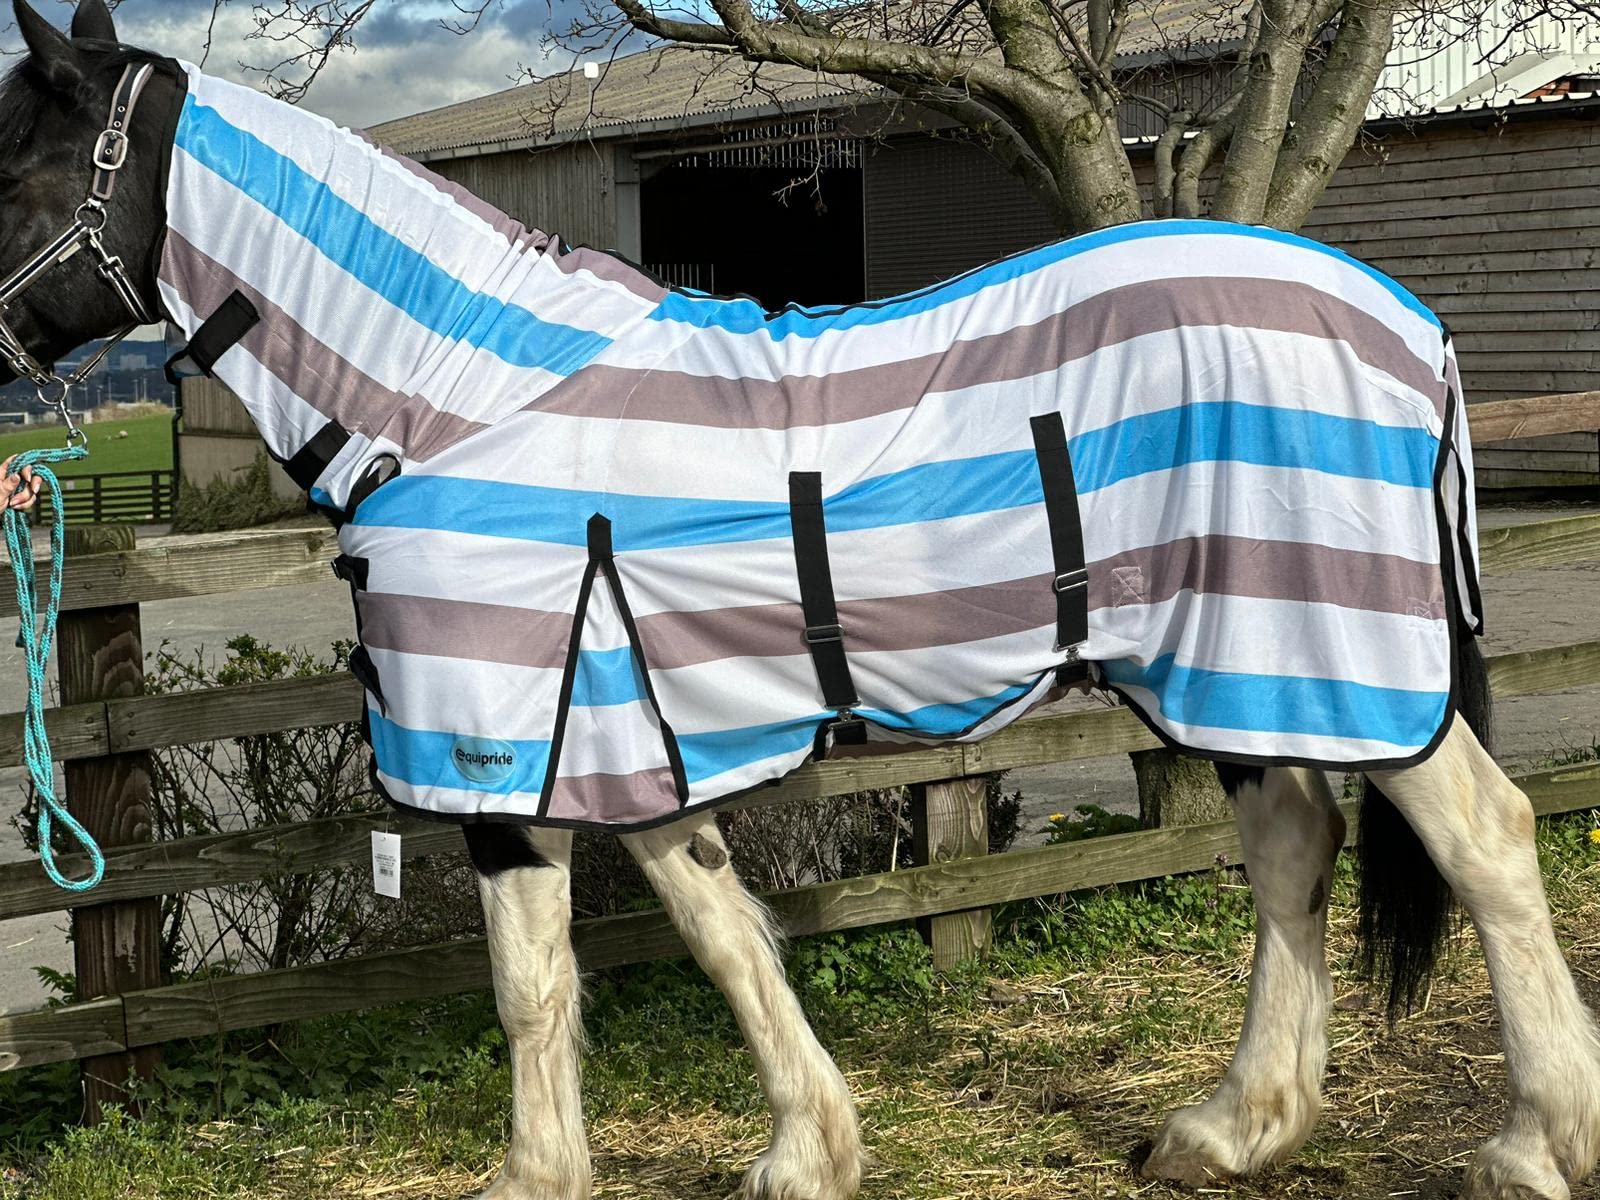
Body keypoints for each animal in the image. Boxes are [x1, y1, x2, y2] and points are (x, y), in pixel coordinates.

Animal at [1, 5, 1596, 1198]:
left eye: (13, 175)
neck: (460, 396)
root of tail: (1406, 325)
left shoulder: (501, 755)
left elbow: (531, 983)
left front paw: (537, 1176)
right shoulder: (629, 741)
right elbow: (721, 933)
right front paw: (809, 1150)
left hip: (1315, 644)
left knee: (1485, 840)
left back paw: (1534, 1140)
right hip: (1237, 658)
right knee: (1292, 845)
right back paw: (1234, 1126)